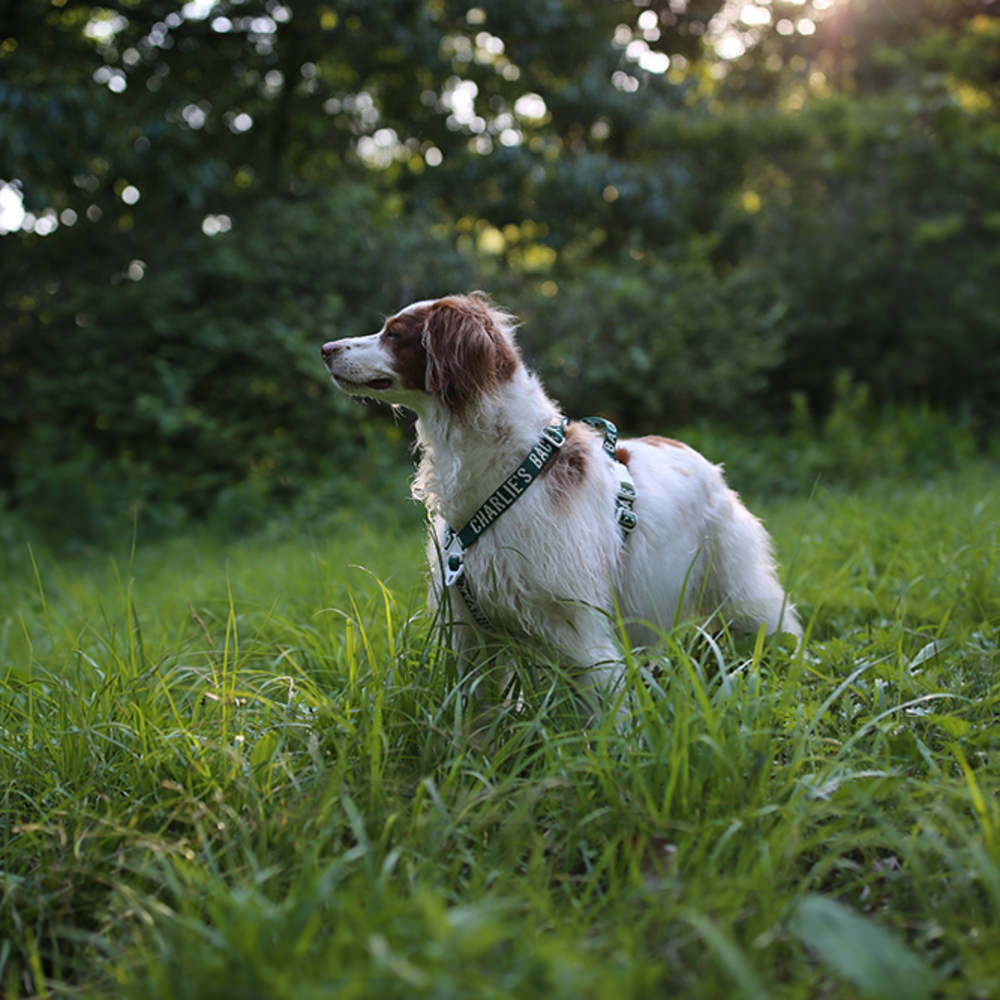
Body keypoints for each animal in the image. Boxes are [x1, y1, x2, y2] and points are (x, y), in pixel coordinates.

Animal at [322, 292, 804, 704]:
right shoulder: (472, 636)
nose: (326, 348)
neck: (504, 468)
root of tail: (690, 450)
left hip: (737, 586)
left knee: (778, 625)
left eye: (394, 334)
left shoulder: (582, 631)